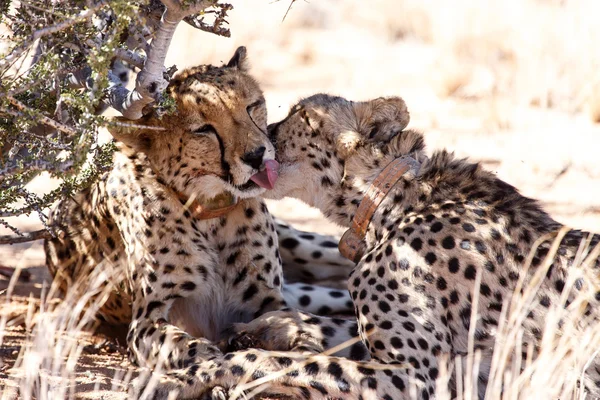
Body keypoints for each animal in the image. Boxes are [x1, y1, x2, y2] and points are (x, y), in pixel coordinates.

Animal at [225, 93, 600, 396]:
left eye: (299, 114)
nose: (260, 141)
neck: (387, 197)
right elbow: (329, 326)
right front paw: (269, 325)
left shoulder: (417, 376)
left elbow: (297, 364)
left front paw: (218, 365)